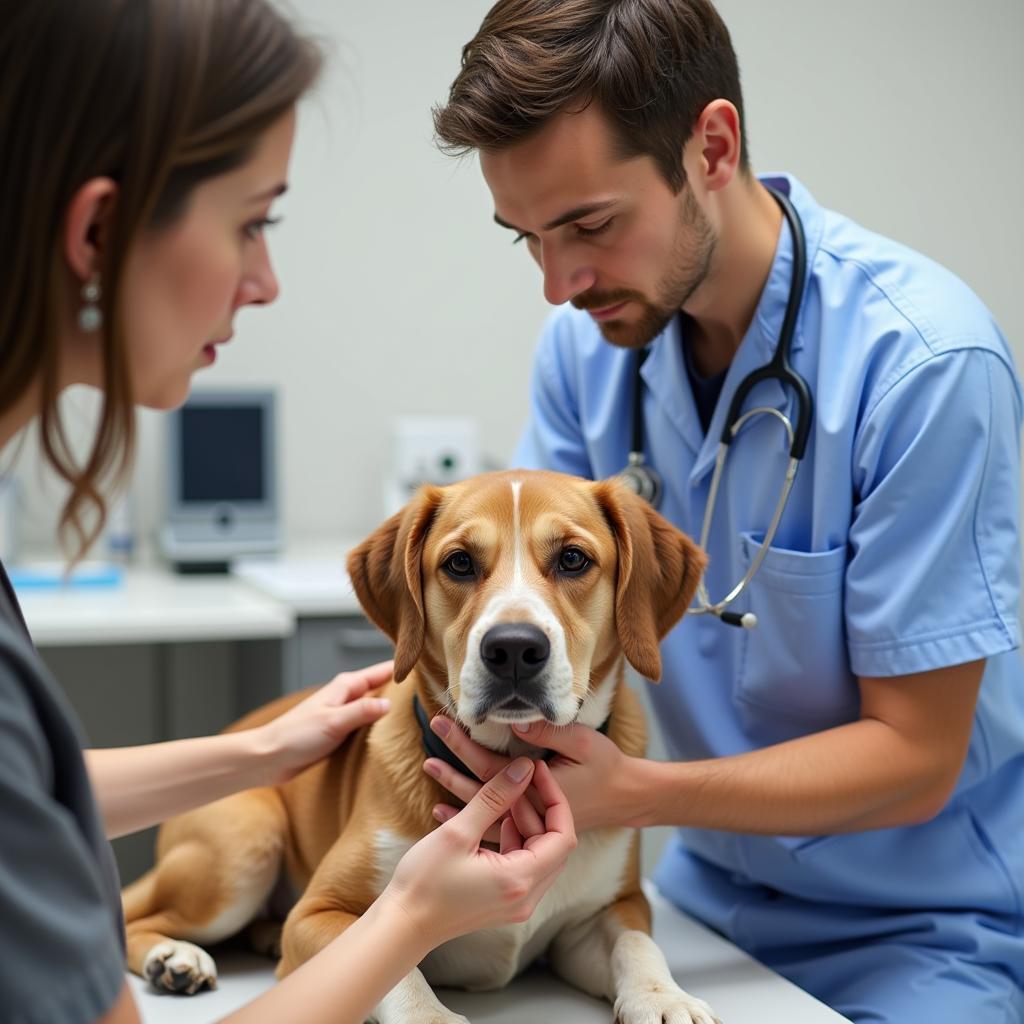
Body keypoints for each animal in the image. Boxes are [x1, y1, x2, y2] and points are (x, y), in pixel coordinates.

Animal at [121, 471, 712, 1024]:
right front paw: (429, 1016)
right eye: (459, 563)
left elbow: (637, 944)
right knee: (135, 916)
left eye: (572, 559)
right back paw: (174, 958)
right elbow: (394, 965)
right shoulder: (318, 914)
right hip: (246, 841)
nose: (513, 648)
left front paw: (665, 998)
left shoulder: (608, 912)